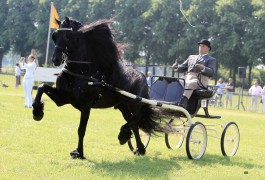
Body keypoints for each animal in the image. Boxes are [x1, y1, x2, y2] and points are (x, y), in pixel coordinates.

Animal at [32, 17, 162, 159]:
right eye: (54, 35)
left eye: (67, 36)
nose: (55, 59)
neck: (81, 72)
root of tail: (143, 76)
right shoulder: (62, 98)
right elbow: (42, 87)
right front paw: (37, 111)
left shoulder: (86, 106)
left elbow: (81, 130)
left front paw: (79, 152)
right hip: (123, 106)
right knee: (134, 123)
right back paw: (139, 148)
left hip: (135, 103)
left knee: (137, 117)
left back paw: (124, 135)